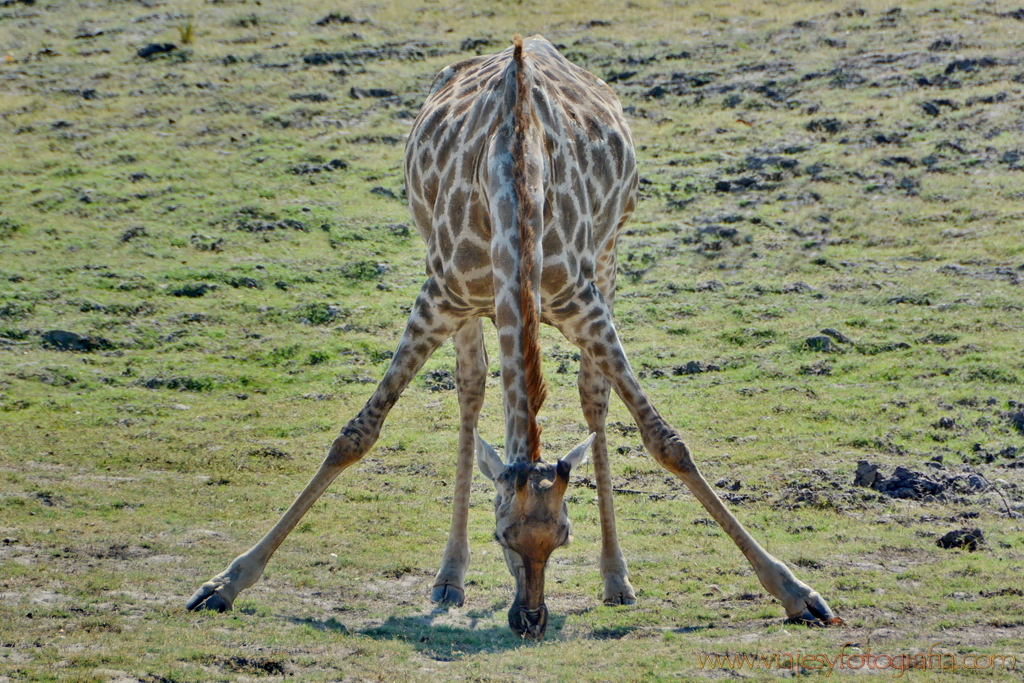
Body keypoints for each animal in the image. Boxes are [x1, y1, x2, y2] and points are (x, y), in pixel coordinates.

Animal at [186, 34, 839, 638]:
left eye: (564, 535)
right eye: (502, 533)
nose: (530, 619)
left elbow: (666, 442)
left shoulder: (583, 300)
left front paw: (797, 593)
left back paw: (616, 580)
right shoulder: (439, 295)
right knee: (473, 389)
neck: (517, 185)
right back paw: (449, 579)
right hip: (464, 293)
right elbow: (356, 435)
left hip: (608, 256)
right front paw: (224, 583)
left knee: (591, 399)